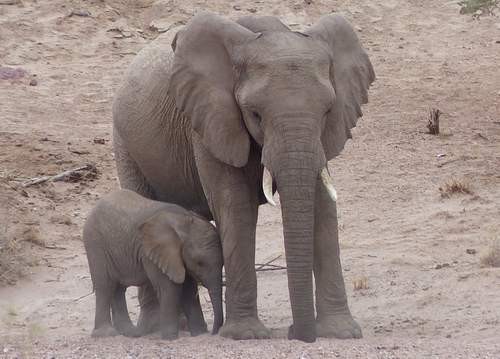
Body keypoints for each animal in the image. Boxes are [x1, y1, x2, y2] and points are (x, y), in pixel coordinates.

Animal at [83, 190, 224, 338]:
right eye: (199, 263)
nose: (213, 333)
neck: (183, 220)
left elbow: (189, 288)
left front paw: (198, 334)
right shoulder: (152, 252)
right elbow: (170, 287)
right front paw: (170, 338)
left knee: (118, 288)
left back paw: (129, 332)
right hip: (95, 243)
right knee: (105, 286)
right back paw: (106, 334)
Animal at [111, 11, 374, 344]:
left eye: (328, 111)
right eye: (255, 114)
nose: (295, 333)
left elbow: (323, 207)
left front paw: (341, 332)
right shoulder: (210, 121)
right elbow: (235, 207)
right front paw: (246, 335)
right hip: (125, 143)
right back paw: (156, 327)